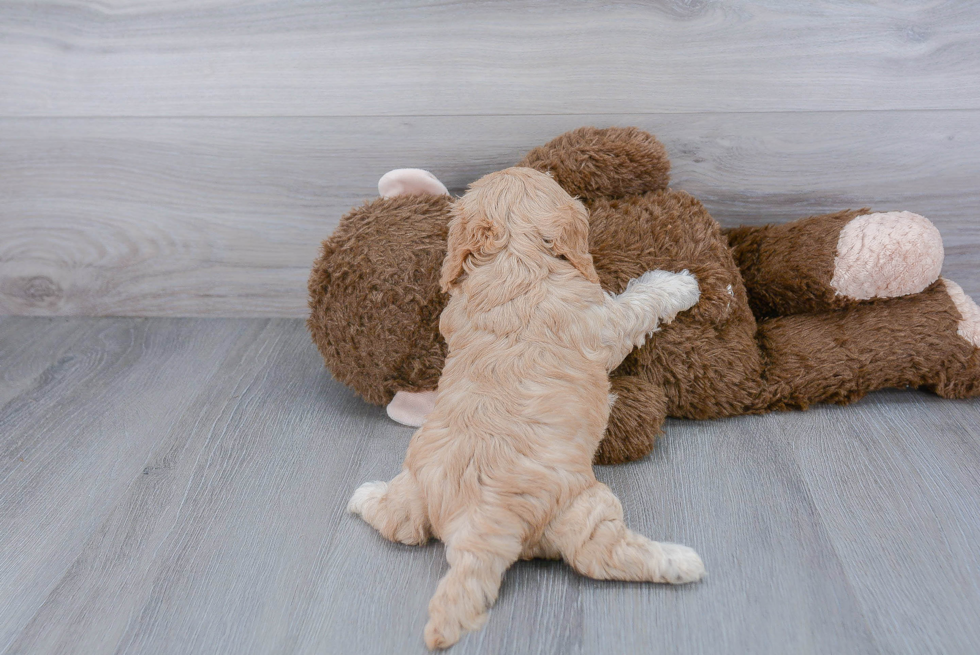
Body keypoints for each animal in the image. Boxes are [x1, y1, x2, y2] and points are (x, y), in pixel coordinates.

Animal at [350, 167, 704, 648]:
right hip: (581, 509)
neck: (513, 259)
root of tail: (476, 526)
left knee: (401, 524)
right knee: (599, 555)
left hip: (417, 490)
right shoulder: (605, 324)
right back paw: (681, 561)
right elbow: (639, 303)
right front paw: (677, 284)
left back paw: (365, 495)